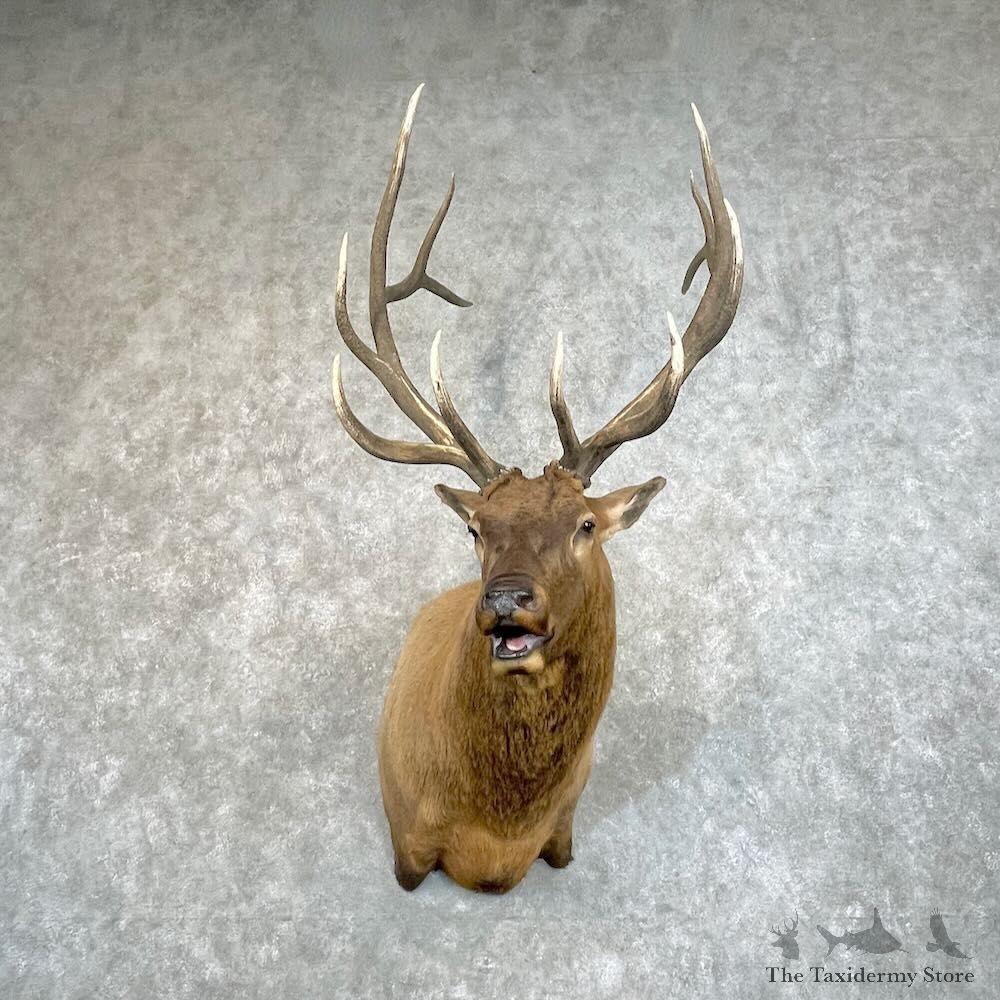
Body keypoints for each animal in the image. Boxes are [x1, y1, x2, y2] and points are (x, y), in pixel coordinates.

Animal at [330, 85, 743, 893]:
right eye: (475, 528)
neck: (495, 840)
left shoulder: (563, 830)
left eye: (584, 524)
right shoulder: (407, 844)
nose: (505, 599)